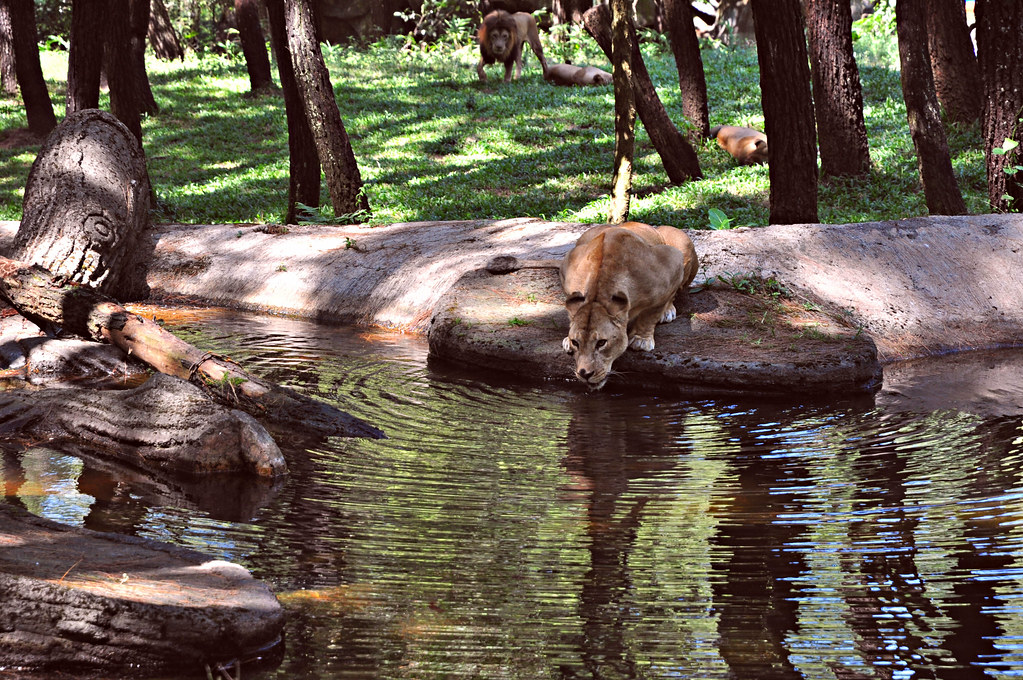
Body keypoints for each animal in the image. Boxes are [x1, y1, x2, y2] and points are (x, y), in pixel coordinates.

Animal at [559, 222, 699, 391]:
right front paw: (567, 339)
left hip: (683, 242)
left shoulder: (672, 260)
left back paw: (668, 311)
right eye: (576, 342)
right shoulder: (567, 264)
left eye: (601, 343)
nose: (584, 374)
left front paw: (641, 340)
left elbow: (651, 313)